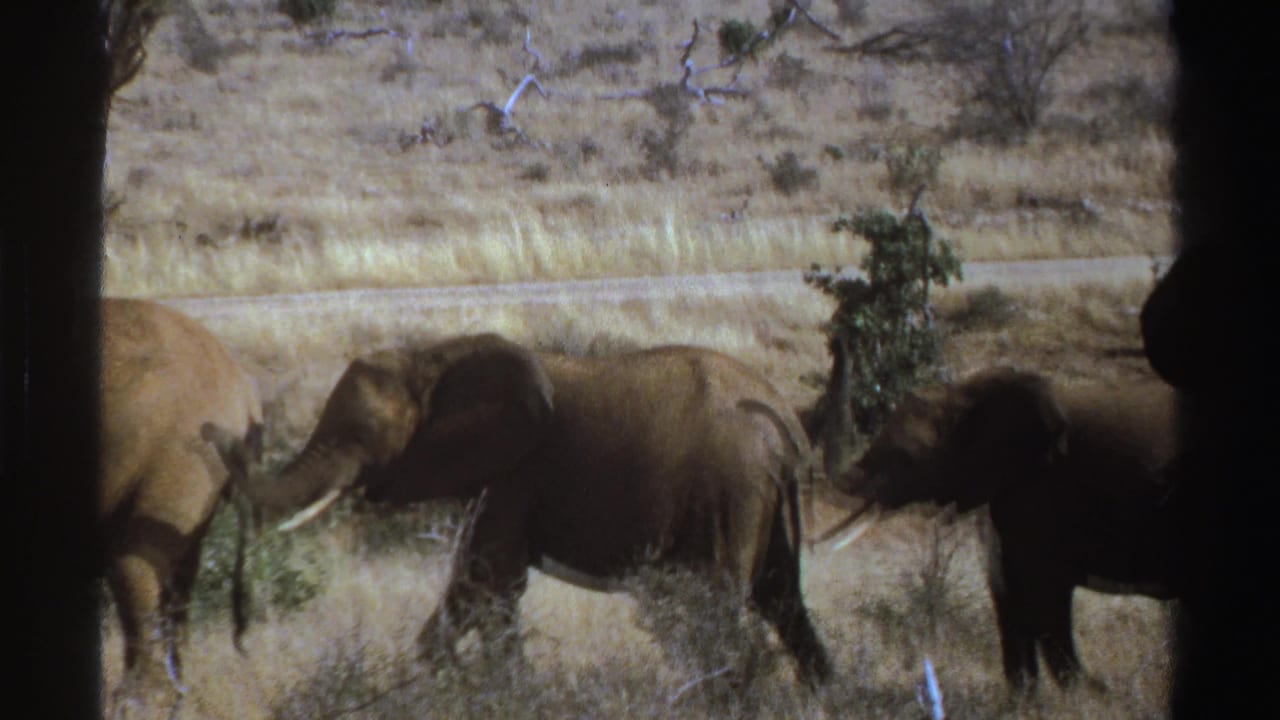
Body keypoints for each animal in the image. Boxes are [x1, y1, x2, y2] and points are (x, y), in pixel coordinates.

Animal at [204, 332, 833, 688]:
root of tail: (787, 425)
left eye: (362, 434)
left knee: (723, 614)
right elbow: (469, 589)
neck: (430, 357)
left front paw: (506, 692)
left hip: (730, 491)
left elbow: (491, 584)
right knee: (786, 603)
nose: (213, 430)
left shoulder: (515, 475)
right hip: (761, 500)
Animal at [814, 363, 1180, 691]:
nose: (838, 344)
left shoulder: (1045, 491)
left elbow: (1046, 595)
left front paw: (1085, 697)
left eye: (905, 459)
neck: (963, 394)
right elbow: (1010, 596)